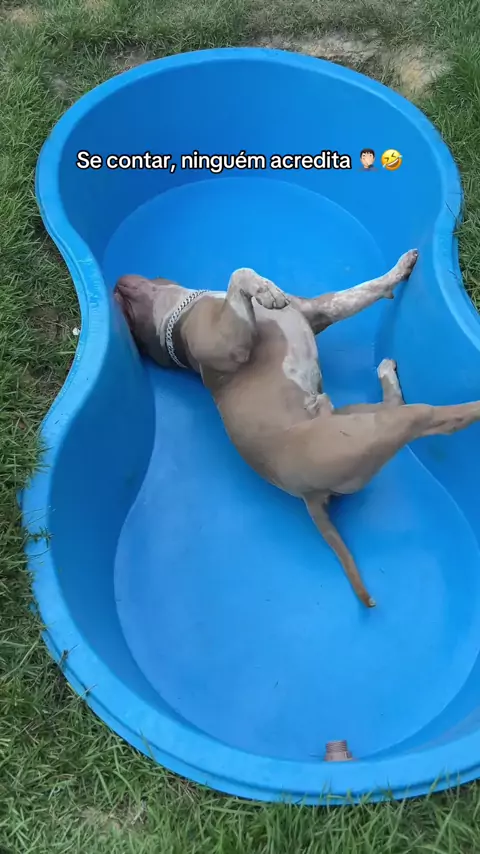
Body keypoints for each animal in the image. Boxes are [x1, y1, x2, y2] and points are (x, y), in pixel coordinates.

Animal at [114, 250, 480, 608]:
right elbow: (240, 271)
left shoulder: (319, 308)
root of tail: (309, 496)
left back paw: (385, 374)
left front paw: (400, 269)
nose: (115, 286)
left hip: (353, 415)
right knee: (431, 417)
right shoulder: (226, 346)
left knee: (394, 403)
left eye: (129, 320)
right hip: (369, 431)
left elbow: (361, 290)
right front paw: (263, 289)